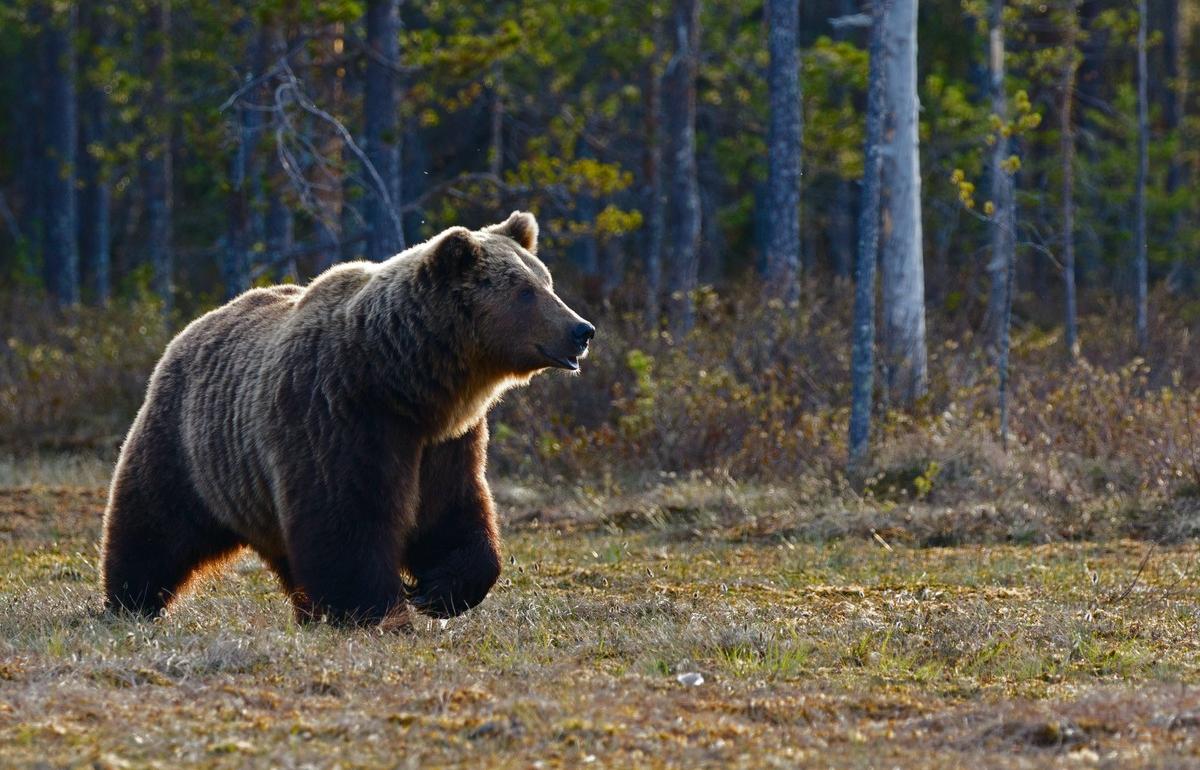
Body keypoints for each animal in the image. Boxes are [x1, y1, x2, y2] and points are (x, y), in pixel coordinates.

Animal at [98, 209, 595, 623]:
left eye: (547, 282)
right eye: (525, 291)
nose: (582, 329)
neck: (404, 382)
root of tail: (192, 327)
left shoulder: (445, 441)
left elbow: (453, 511)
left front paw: (438, 591)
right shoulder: (338, 415)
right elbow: (346, 519)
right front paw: (377, 609)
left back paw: (306, 610)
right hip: (189, 445)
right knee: (153, 523)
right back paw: (130, 600)